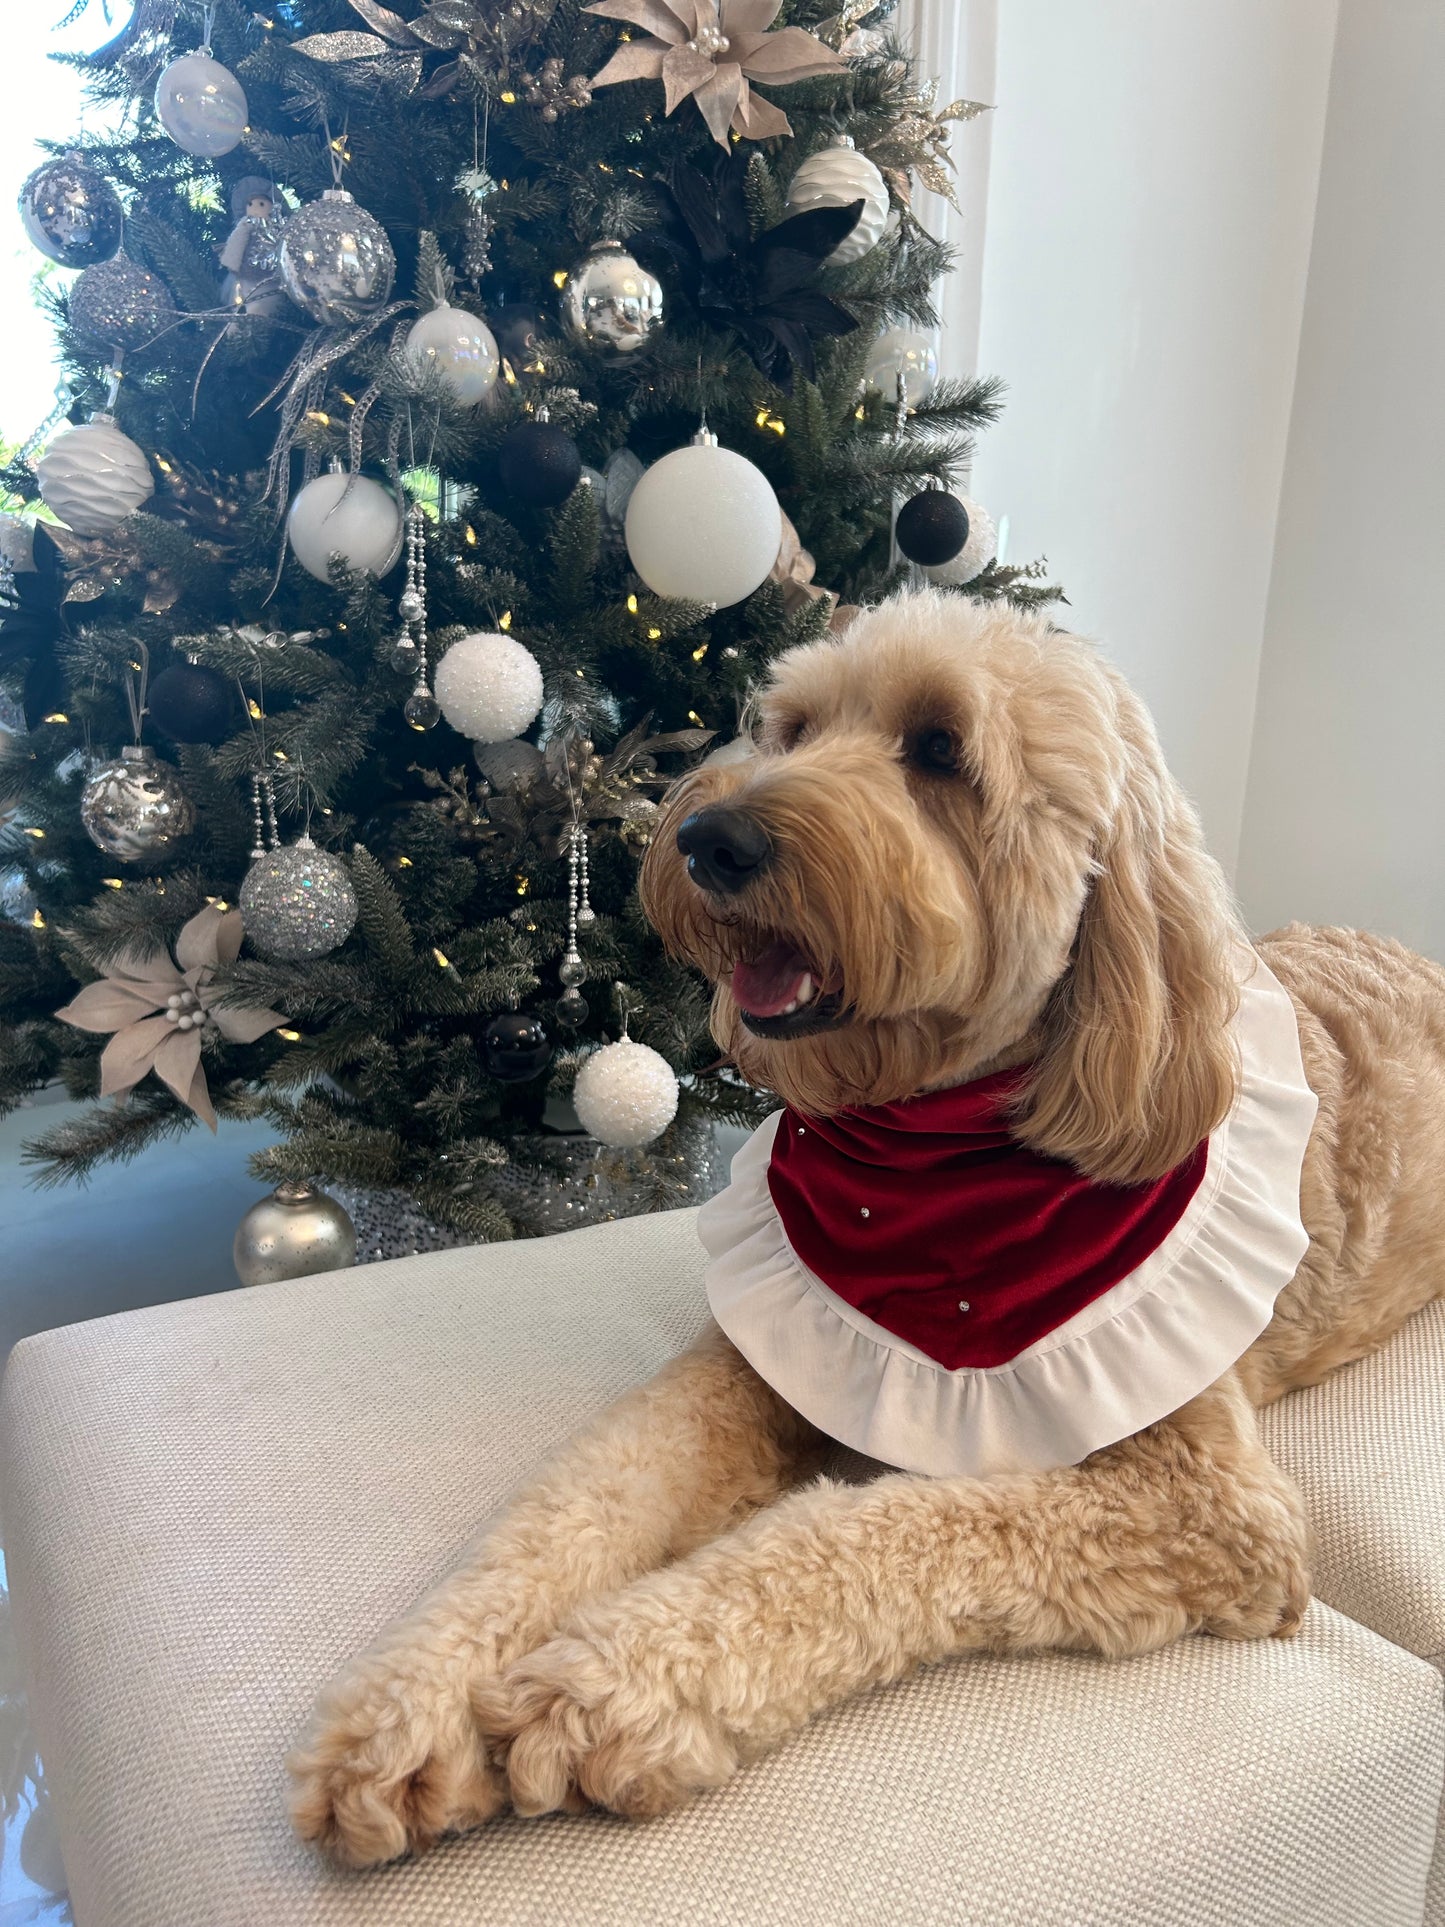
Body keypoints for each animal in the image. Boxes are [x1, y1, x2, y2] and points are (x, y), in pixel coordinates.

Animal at [289, 585, 1445, 1865]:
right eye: (790, 728)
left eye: (939, 748)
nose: (706, 839)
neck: (931, 1154)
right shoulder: (749, 1364)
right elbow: (584, 1491)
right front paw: (410, 1699)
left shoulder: (1208, 1509)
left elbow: (882, 1529)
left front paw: (609, 1681)